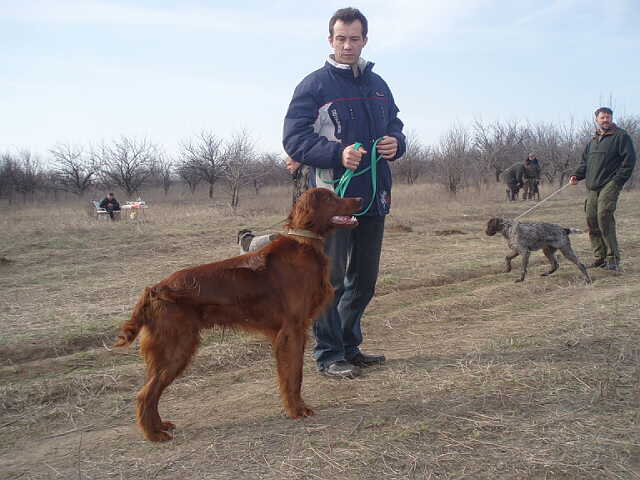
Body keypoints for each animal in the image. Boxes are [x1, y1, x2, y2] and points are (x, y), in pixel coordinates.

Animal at [114, 188, 362, 441]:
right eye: (330, 198)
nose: (361, 199)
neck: (305, 245)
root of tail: (154, 290)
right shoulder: (292, 330)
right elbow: (293, 374)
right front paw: (296, 409)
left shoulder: (295, 330)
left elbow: (294, 373)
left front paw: (294, 407)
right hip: (176, 348)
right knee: (145, 393)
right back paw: (154, 434)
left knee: (151, 391)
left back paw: (159, 426)